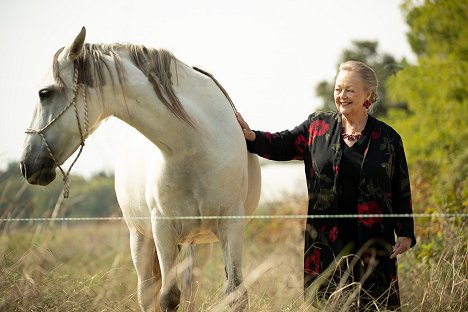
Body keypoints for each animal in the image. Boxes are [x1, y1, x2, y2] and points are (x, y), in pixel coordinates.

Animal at [20, 28, 262, 310]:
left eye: (44, 93)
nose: (27, 164)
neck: (195, 144)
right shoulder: (163, 229)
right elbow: (168, 297)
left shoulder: (231, 225)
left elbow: (236, 293)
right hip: (141, 240)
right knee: (148, 292)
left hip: (198, 244)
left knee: (191, 288)